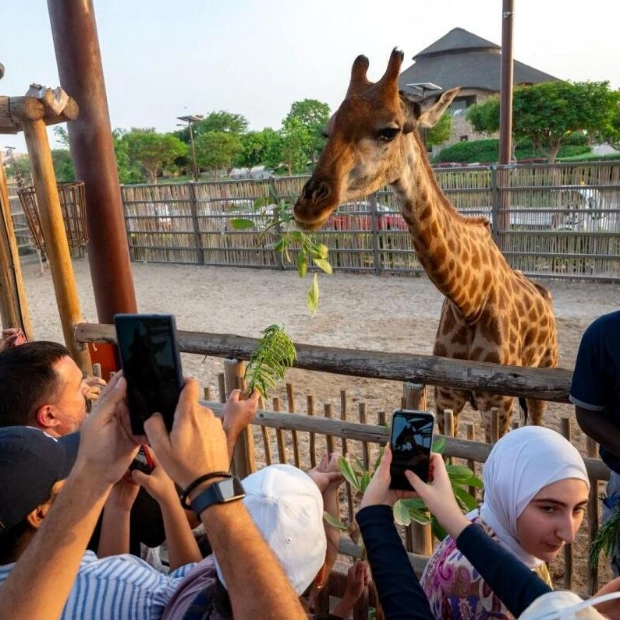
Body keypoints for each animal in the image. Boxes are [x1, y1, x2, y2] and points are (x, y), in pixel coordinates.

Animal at [294, 49, 560, 440]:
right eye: (327, 130)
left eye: (388, 131)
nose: (308, 205)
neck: (469, 299)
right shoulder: (446, 395)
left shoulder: (498, 403)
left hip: (541, 378)